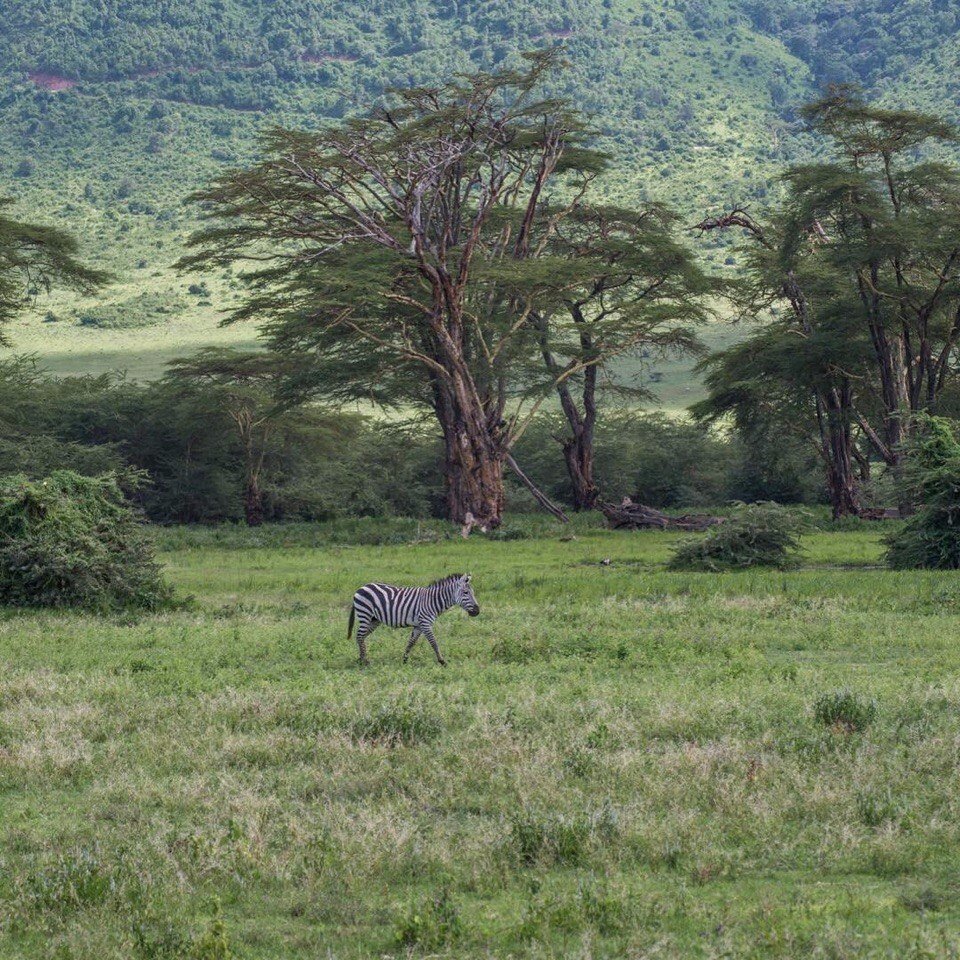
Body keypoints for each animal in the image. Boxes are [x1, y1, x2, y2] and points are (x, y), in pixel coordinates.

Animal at [344, 568, 480, 668]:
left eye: (473, 593)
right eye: (466, 593)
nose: (477, 611)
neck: (432, 601)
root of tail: (361, 587)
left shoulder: (418, 625)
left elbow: (411, 642)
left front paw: (404, 660)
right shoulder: (425, 623)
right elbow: (434, 643)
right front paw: (442, 662)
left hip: (374, 620)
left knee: (361, 637)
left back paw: (361, 658)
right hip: (365, 614)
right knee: (360, 636)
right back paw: (364, 661)